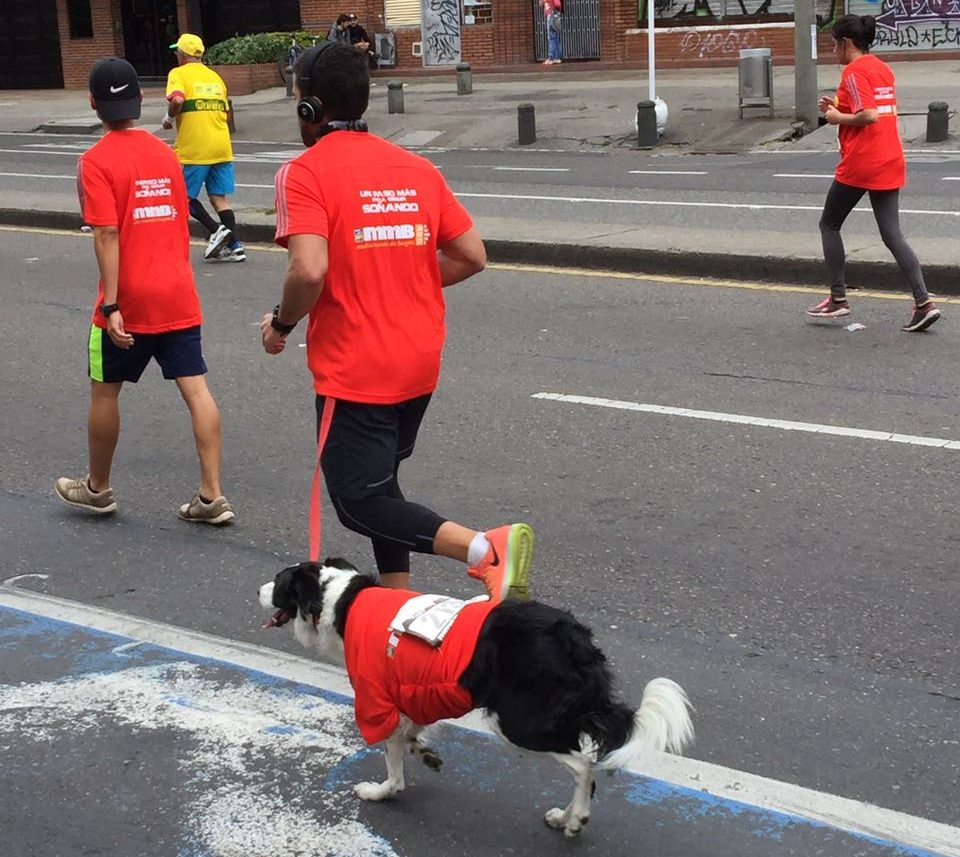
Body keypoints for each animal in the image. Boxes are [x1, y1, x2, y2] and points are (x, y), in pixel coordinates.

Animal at [258, 560, 692, 840]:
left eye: (278, 581)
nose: (257, 589)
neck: (337, 599)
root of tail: (575, 640)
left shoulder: (377, 701)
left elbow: (394, 766)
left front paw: (381, 791)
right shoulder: (418, 691)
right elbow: (410, 734)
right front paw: (423, 751)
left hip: (519, 720)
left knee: (584, 765)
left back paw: (575, 820)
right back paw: (563, 817)